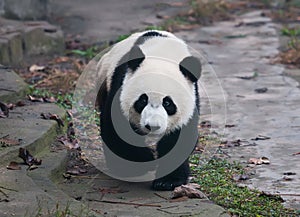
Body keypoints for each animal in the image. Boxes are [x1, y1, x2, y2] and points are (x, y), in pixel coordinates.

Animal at [97, 30, 202, 190]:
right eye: (143, 100)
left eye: (168, 103)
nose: (152, 126)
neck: (162, 55)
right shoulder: (120, 87)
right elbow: (116, 129)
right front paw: (137, 165)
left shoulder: (191, 99)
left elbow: (178, 138)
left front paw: (168, 181)